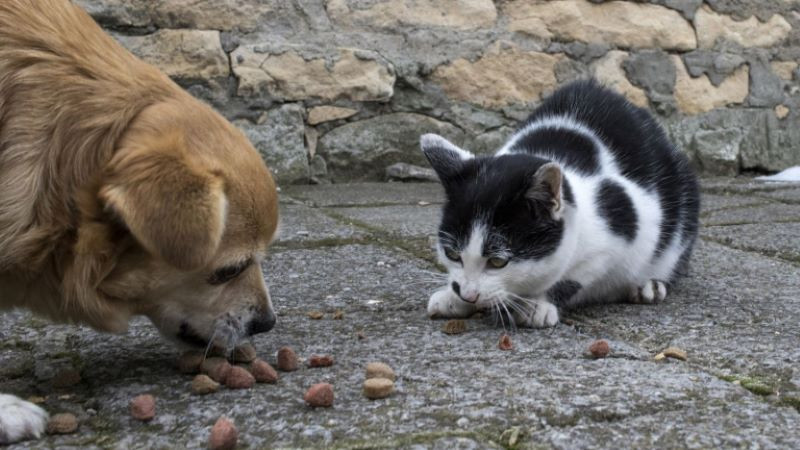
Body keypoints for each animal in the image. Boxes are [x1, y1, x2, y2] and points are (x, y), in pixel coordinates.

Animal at [422, 80, 696, 326]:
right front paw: (452, 298)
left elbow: (572, 278)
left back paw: (648, 285)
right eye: (452, 254)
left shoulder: (622, 231)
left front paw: (536, 305)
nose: (469, 295)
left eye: (498, 262)